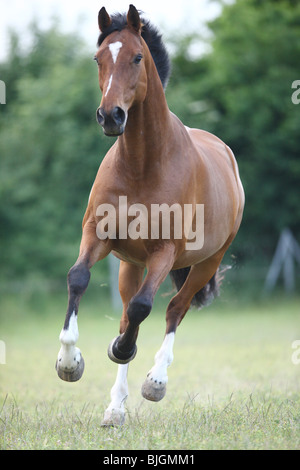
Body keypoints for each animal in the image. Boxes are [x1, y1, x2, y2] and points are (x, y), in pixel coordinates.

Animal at [55, 5, 244, 428]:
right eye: (98, 58)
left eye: (138, 58)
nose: (111, 116)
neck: (143, 165)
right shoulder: (97, 235)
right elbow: (79, 278)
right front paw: (69, 362)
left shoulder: (165, 252)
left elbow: (145, 307)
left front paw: (122, 352)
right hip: (131, 263)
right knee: (128, 313)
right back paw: (114, 408)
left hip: (207, 262)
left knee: (174, 309)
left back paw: (155, 381)